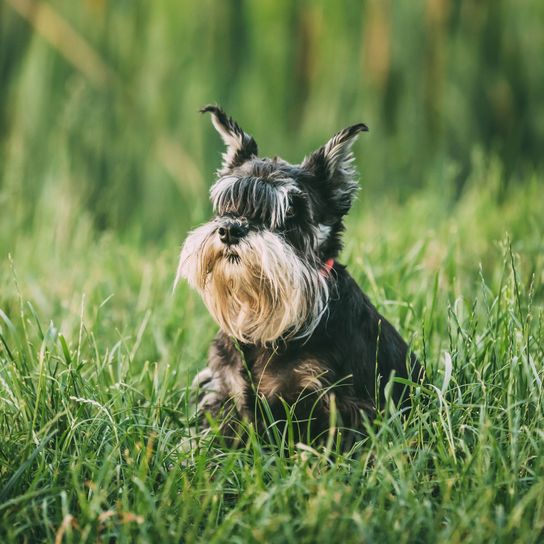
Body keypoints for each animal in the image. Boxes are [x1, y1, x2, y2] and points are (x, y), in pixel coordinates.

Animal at [176, 106, 422, 446]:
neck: (266, 327)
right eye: (226, 205)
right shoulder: (224, 393)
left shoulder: (331, 402)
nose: (229, 230)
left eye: (291, 214)